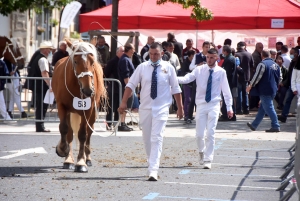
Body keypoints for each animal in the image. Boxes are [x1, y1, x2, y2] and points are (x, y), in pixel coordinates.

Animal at [52, 39, 106, 173]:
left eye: (92, 62)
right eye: (76, 61)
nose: (88, 90)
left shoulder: (88, 110)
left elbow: (82, 135)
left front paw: (81, 162)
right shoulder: (62, 106)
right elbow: (64, 129)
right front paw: (63, 150)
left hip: (92, 114)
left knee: (89, 132)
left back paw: (87, 158)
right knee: (70, 133)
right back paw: (69, 160)